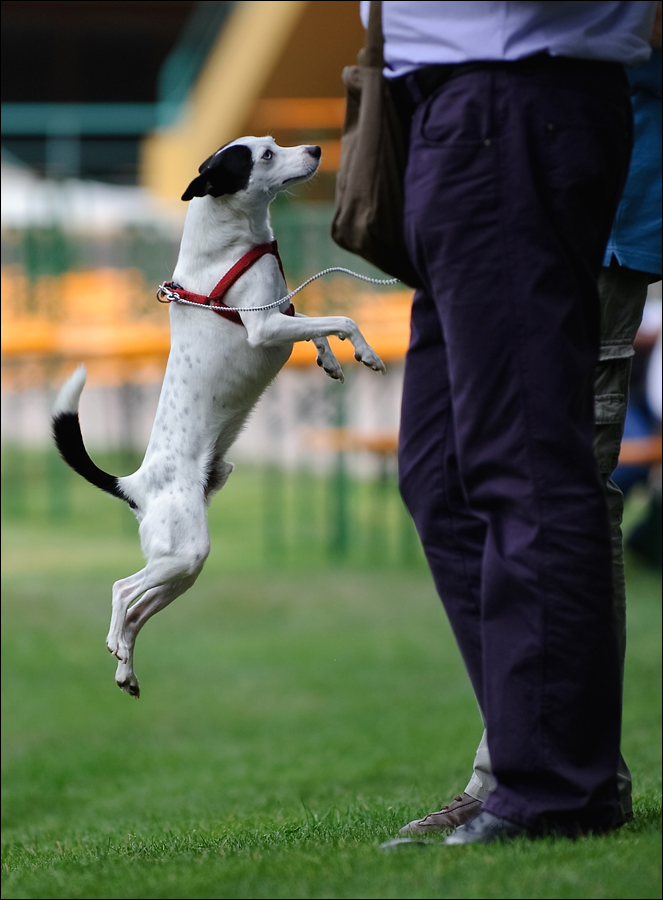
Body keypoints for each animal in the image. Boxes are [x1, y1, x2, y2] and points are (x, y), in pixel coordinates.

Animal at [54, 137, 386, 700]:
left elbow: (314, 324)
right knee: (122, 591)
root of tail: (135, 484)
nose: (317, 148)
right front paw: (362, 350)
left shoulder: (283, 316)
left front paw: (330, 359)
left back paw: (126, 667)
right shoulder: (266, 326)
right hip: (183, 553)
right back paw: (117, 641)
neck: (233, 244)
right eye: (265, 157)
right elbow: (341, 318)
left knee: (139, 610)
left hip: (182, 567)